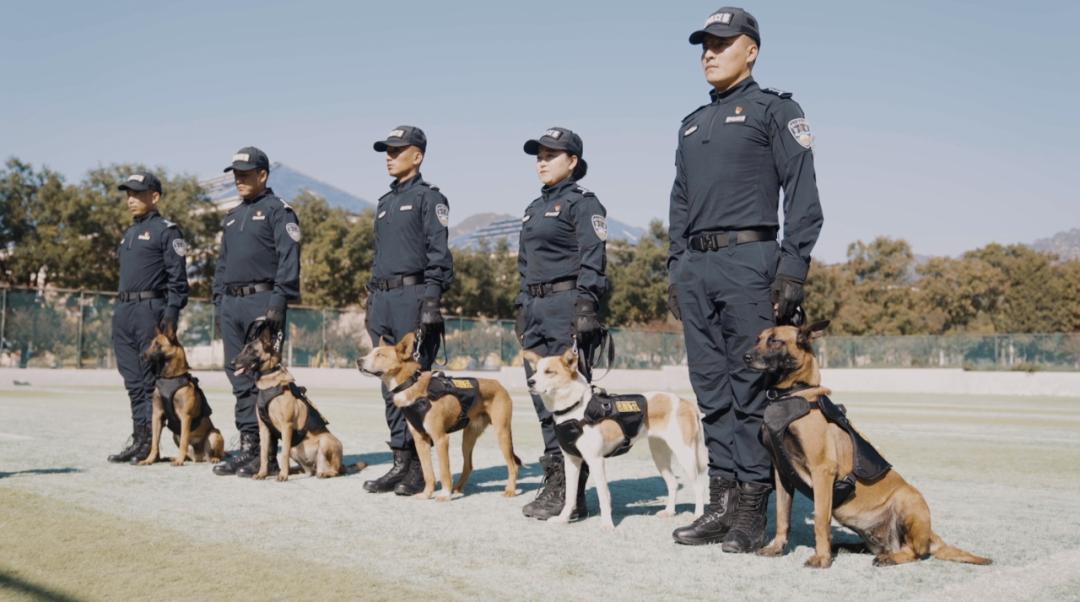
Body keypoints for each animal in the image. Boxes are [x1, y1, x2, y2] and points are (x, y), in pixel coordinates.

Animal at [139, 324, 223, 464]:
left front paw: (179, 461)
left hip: (214, 434)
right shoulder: (157, 416)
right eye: (151, 343)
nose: (142, 355)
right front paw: (149, 460)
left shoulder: (185, 417)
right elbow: (154, 442)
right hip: (175, 435)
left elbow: (184, 441)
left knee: (218, 453)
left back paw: (213, 458)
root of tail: (200, 457)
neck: (170, 378)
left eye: (157, 344)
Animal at [231, 322, 358, 482]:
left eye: (250, 350)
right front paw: (262, 473)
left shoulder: (287, 426)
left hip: (325, 440)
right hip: (296, 450)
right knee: (310, 471)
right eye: (243, 349)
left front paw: (282, 475)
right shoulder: (264, 428)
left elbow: (283, 454)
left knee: (334, 471)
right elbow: (264, 453)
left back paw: (323, 473)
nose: (231, 363)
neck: (269, 381)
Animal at [356, 330, 520, 499]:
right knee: (468, 465)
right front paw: (426, 494)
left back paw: (510, 490)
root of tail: (498, 384)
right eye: (370, 353)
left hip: (502, 432)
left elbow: (444, 470)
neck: (410, 383)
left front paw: (445, 495)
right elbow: (427, 472)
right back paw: (458, 488)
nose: (358, 361)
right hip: (468, 438)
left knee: (513, 465)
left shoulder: (440, 438)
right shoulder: (420, 439)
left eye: (380, 355)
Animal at [522, 348, 708, 525]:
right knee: (673, 483)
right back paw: (669, 512)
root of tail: (684, 402)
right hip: (659, 455)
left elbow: (603, 495)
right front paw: (563, 519)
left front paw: (607, 525)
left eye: (549, 371)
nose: (530, 381)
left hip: (685, 454)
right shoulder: (571, 461)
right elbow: (570, 496)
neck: (575, 408)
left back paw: (698, 516)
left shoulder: (596, 460)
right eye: (535, 371)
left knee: (699, 486)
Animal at [747, 319, 989, 566]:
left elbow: (820, 520)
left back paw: (888, 557)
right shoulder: (783, 474)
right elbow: (782, 517)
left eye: (775, 341)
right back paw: (848, 547)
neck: (792, 393)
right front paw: (777, 547)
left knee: (916, 552)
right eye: (758, 339)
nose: (746, 356)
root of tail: (931, 535)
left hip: (908, 499)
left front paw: (822, 558)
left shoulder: (822, 470)